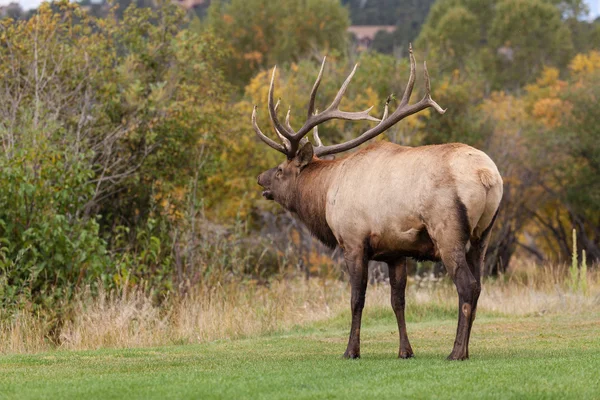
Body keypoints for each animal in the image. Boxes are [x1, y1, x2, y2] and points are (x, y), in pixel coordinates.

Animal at [252, 46, 502, 360]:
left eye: (280, 170)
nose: (260, 178)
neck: (325, 195)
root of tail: (487, 176)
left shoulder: (353, 242)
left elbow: (356, 299)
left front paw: (351, 350)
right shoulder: (395, 251)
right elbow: (398, 301)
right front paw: (405, 351)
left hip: (448, 231)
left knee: (466, 286)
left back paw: (456, 352)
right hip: (483, 235)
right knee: (479, 285)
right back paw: (465, 350)